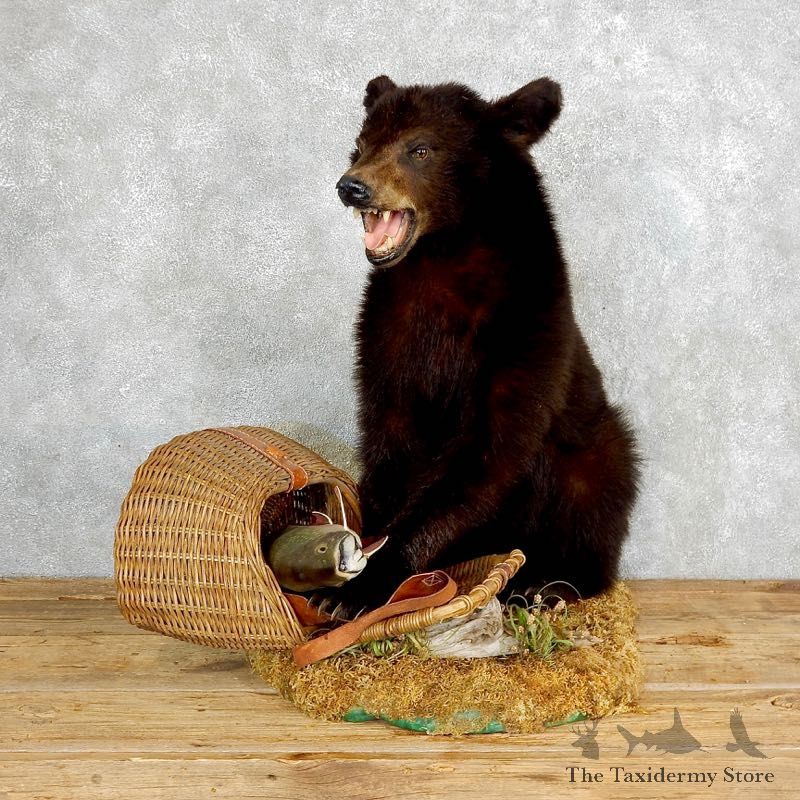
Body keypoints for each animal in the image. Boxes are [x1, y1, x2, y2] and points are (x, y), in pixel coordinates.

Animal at [329, 75, 640, 618]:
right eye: (362, 144)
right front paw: (361, 553)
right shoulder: (388, 330)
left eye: (420, 148)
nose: (352, 186)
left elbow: (490, 449)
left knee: (596, 495)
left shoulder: (525, 325)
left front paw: (363, 587)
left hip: (595, 447)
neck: (442, 259)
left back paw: (547, 584)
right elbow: (388, 436)